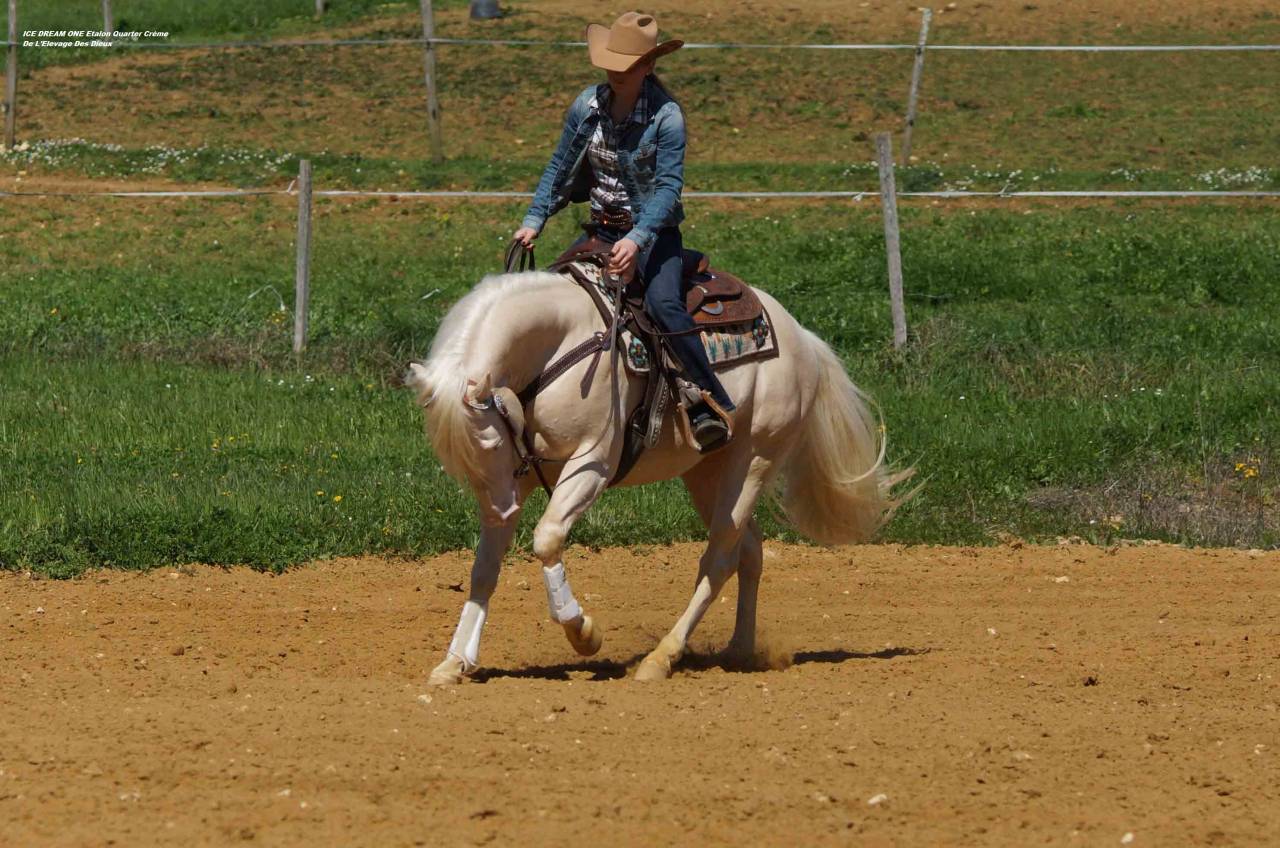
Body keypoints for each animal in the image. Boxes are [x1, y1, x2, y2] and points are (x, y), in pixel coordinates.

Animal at [405, 263, 910, 684]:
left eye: (488, 443)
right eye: (455, 457)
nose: (501, 510)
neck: (559, 345)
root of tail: (801, 336)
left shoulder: (592, 463)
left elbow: (547, 538)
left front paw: (583, 632)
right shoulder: (524, 474)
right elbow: (484, 570)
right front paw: (454, 662)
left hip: (755, 459)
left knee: (719, 558)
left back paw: (660, 658)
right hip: (708, 471)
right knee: (748, 549)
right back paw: (739, 650)